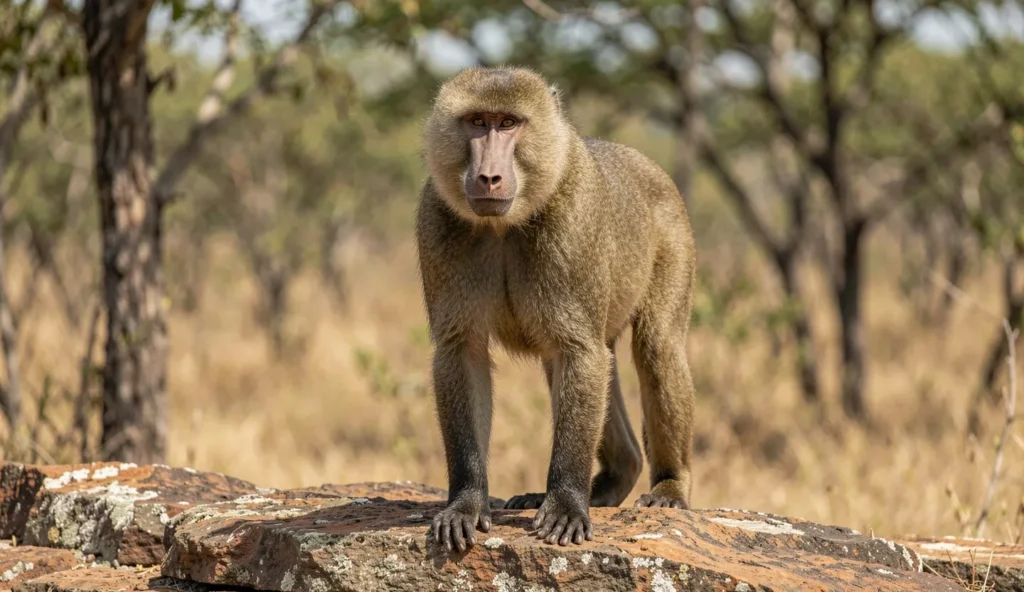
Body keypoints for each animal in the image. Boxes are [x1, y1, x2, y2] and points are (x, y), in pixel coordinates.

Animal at [416, 66, 697, 551]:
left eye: (509, 123)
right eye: (477, 122)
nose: (488, 177)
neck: (503, 226)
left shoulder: (574, 222)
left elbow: (579, 354)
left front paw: (565, 504)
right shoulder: (435, 222)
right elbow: (462, 355)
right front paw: (466, 504)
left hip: (674, 240)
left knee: (656, 349)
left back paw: (669, 486)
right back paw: (613, 478)